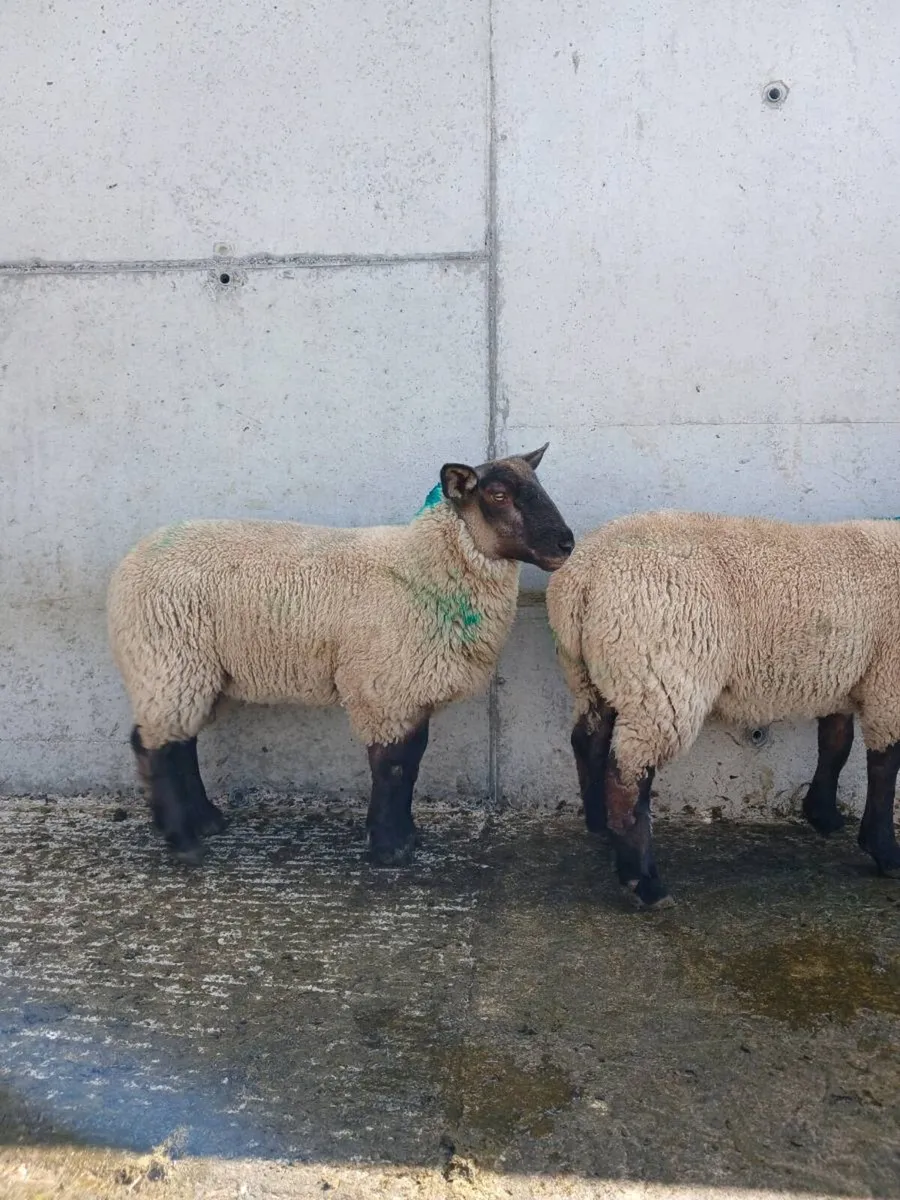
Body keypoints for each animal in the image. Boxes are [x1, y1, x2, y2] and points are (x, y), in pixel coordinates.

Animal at [108, 445, 574, 864]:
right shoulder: (384, 689)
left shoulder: (407, 690)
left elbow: (411, 762)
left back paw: (206, 821)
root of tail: (129, 564)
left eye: (538, 486)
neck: (420, 568)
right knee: (154, 746)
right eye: (498, 495)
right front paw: (390, 849)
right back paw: (184, 841)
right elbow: (393, 768)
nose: (566, 544)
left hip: (195, 671)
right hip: (169, 660)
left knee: (180, 741)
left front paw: (405, 836)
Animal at [546, 509, 900, 909]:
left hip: (598, 674)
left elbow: (836, 744)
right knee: (627, 774)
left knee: (588, 741)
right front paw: (885, 852)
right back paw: (644, 883)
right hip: (659, 677)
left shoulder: (842, 677)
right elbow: (884, 767)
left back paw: (601, 828)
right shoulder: (889, 682)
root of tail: (580, 578)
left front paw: (823, 815)